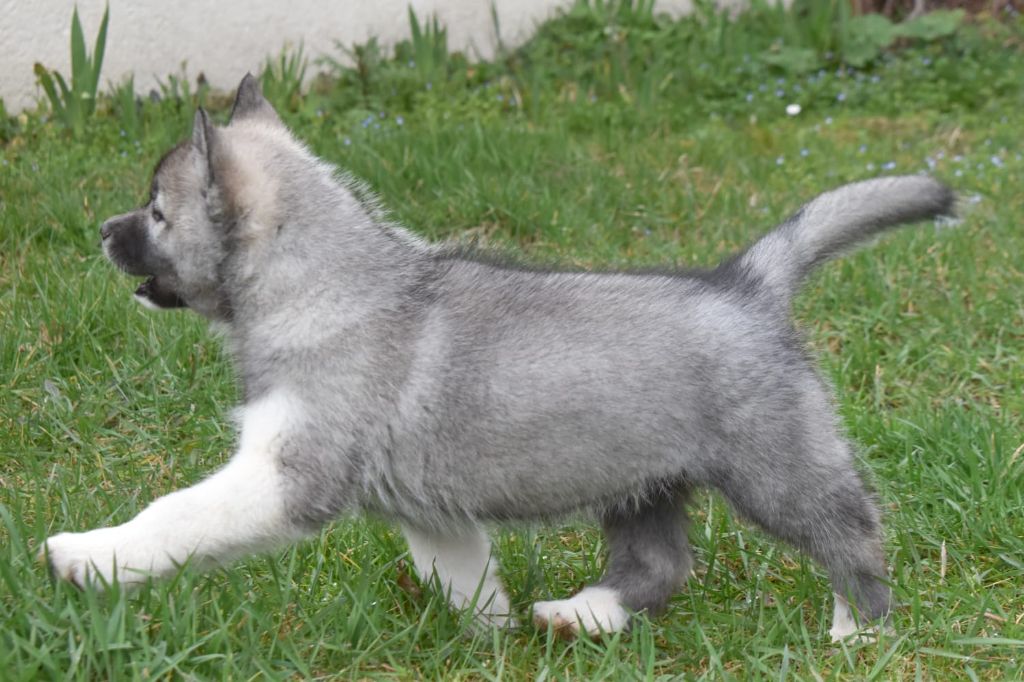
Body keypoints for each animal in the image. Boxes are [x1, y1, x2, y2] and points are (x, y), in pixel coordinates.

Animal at [44, 74, 954, 642]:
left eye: (156, 211)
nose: (101, 233)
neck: (319, 283)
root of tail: (748, 281)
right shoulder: (431, 513)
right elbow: (464, 577)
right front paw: (489, 638)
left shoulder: (286, 475)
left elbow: (177, 515)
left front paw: (87, 557)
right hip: (641, 482)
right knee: (660, 566)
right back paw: (582, 615)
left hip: (776, 469)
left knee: (850, 530)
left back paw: (856, 629)